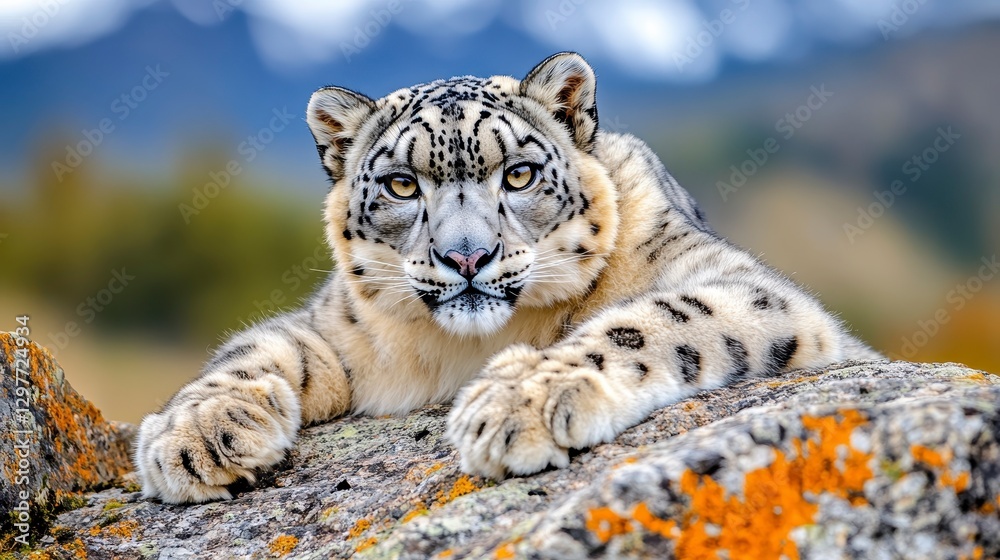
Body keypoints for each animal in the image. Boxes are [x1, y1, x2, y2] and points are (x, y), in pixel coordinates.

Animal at [135, 52, 882, 504]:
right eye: (402, 184)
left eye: (518, 174)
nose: (467, 256)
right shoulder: (335, 323)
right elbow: (256, 348)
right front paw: (196, 435)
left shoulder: (741, 283)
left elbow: (653, 320)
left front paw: (519, 402)